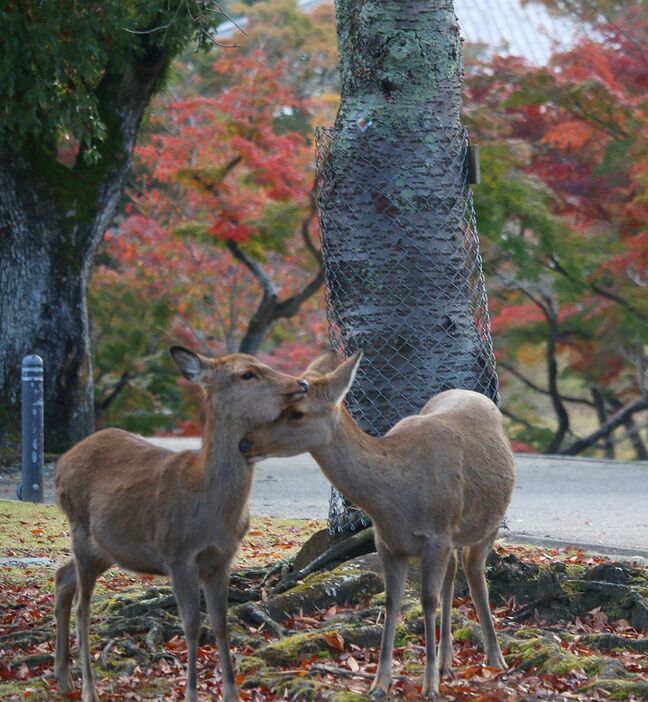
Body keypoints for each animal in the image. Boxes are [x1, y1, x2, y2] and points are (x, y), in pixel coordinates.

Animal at [54, 346, 310, 702]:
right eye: (247, 373)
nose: (301, 383)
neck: (210, 507)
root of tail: (60, 464)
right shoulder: (178, 553)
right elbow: (191, 625)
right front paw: (190, 693)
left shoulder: (222, 558)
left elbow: (220, 622)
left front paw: (231, 693)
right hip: (79, 525)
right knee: (83, 607)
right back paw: (88, 690)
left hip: (106, 547)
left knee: (62, 577)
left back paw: (64, 678)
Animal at [243, 354, 516, 700]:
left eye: (297, 412)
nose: (245, 442)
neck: (397, 496)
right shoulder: (387, 542)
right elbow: (391, 601)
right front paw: (380, 683)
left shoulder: (436, 535)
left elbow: (427, 600)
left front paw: (429, 686)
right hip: (454, 534)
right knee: (454, 573)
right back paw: (447, 661)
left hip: (488, 521)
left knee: (474, 571)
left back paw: (495, 658)